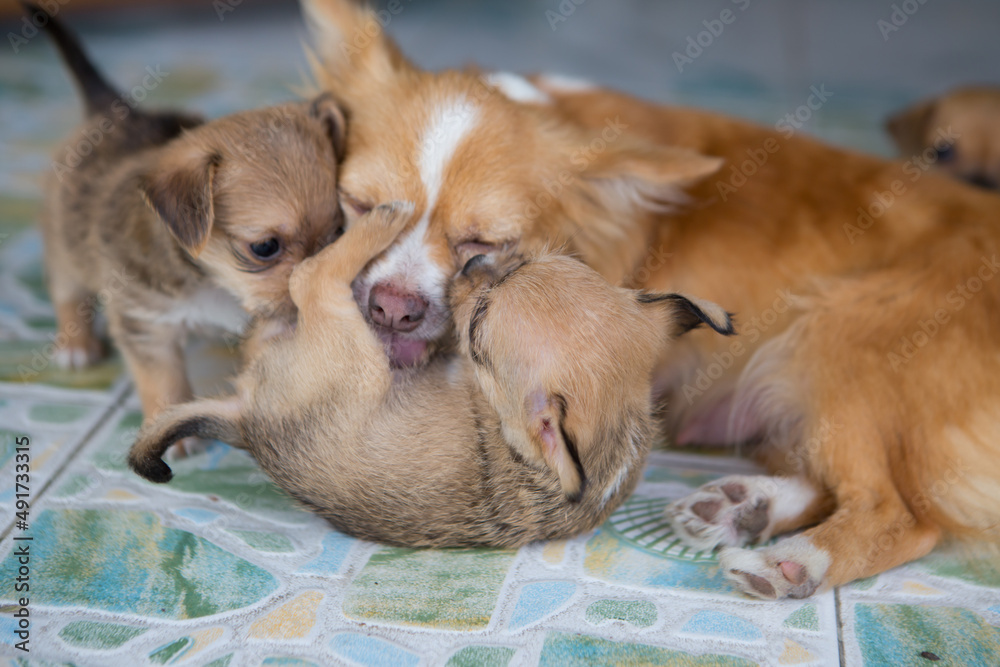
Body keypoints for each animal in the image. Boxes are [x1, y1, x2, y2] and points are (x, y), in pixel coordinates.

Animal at [31, 3, 346, 448]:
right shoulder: (147, 326)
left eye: (337, 232)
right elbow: (162, 381)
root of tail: (112, 111)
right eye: (265, 247)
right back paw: (77, 344)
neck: (211, 282)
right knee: (67, 295)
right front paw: (173, 432)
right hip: (64, 252)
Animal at [127, 204, 736, 548]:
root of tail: (247, 420)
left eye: (478, 329)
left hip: (355, 350)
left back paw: (382, 221)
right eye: (523, 262)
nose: (473, 264)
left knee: (310, 277)